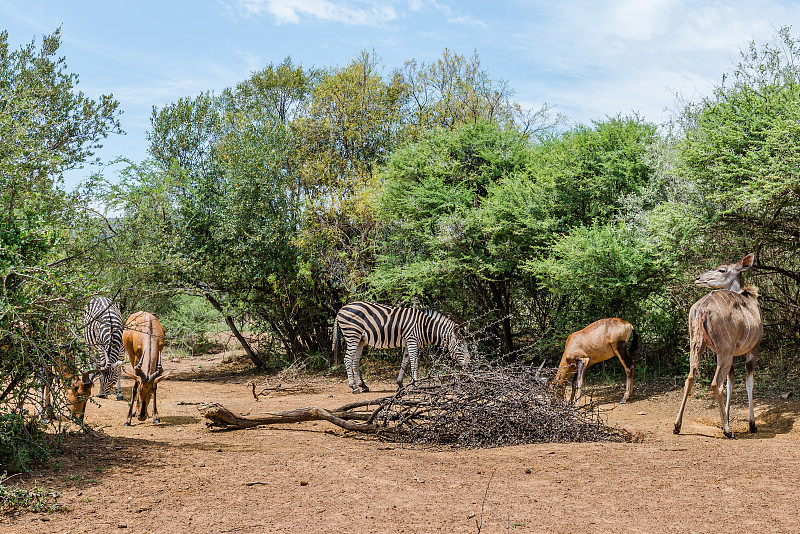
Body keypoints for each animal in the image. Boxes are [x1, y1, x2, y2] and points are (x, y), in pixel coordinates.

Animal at [330, 304, 468, 396]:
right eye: (460, 346)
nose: (468, 362)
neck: (424, 327)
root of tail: (341, 309)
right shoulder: (412, 341)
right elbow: (414, 364)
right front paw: (415, 384)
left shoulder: (408, 344)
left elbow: (404, 363)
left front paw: (400, 384)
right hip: (352, 335)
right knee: (347, 359)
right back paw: (353, 387)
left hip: (360, 339)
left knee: (355, 361)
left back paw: (363, 386)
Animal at [672, 254, 760, 440]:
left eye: (721, 270)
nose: (698, 278)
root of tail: (702, 308)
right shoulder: (753, 349)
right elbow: (748, 382)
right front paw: (752, 424)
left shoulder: (732, 354)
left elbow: (731, 383)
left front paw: (725, 418)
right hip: (724, 350)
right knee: (715, 383)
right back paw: (728, 431)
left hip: (697, 344)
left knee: (690, 377)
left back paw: (677, 425)